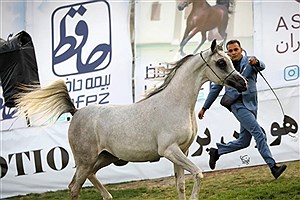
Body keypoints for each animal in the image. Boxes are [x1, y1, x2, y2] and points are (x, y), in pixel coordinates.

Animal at [14, 39, 246, 199]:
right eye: (221, 62)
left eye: (229, 59)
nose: (242, 83)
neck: (175, 104)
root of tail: (76, 112)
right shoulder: (170, 150)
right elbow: (198, 173)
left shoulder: (183, 151)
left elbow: (180, 185)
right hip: (86, 160)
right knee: (74, 187)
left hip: (104, 157)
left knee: (87, 178)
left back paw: (108, 196)